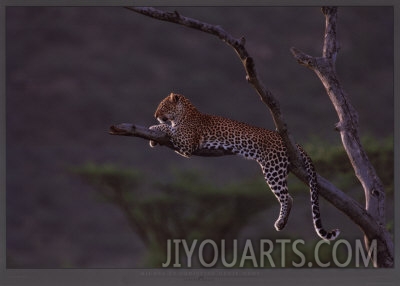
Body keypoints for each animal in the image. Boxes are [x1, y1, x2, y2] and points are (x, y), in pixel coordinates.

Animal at [148, 92, 340, 240]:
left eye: (163, 106)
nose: (155, 114)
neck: (184, 114)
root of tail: (292, 141)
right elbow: (168, 130)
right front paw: (153, 138)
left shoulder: (187, 144)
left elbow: (169, 130)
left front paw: (154, 127)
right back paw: (282, 223)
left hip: (273, 168)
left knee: (287, 197)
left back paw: (280, 222)